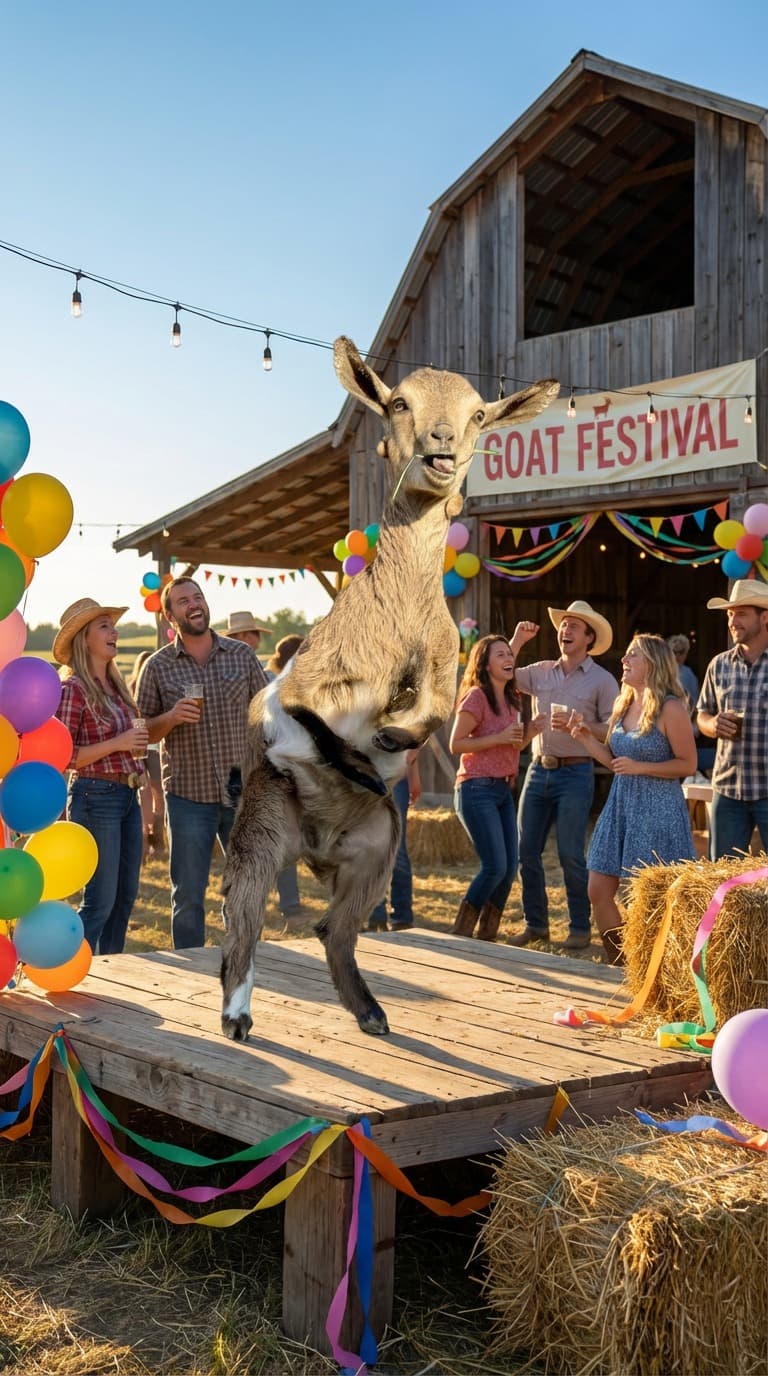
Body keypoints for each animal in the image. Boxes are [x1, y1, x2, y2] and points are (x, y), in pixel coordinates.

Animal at [220, 339, 559, 1039]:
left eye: (480, 413)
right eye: (399, 402)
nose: (442, 444)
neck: (392, 615)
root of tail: (315, 850)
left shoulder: (442, 659)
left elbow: (431, 714)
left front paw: (387, 740)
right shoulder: (289, 692)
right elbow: (309, 722)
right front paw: (358, 752)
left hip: (378, 848)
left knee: (332, 927)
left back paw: (370, 1011)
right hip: (264, 823)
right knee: (245, 910)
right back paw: (237, 1012)